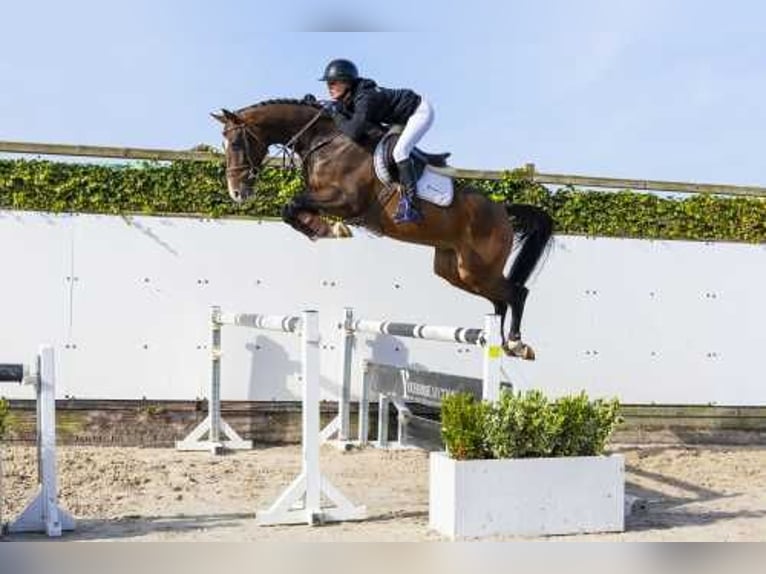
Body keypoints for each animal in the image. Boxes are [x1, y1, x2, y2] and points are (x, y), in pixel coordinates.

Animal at [213, 99, 556, 360]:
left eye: (236, 142)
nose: (236, 192)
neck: (325, 143)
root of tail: (503, 209)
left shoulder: (346, 200)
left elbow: (293, 204)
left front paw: (329, 229)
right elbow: (292, 209)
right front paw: (324, 229)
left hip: (477, 268)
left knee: (517, 292)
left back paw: (516, 343)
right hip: (455, 270)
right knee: (499, 300)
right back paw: (503, 344)